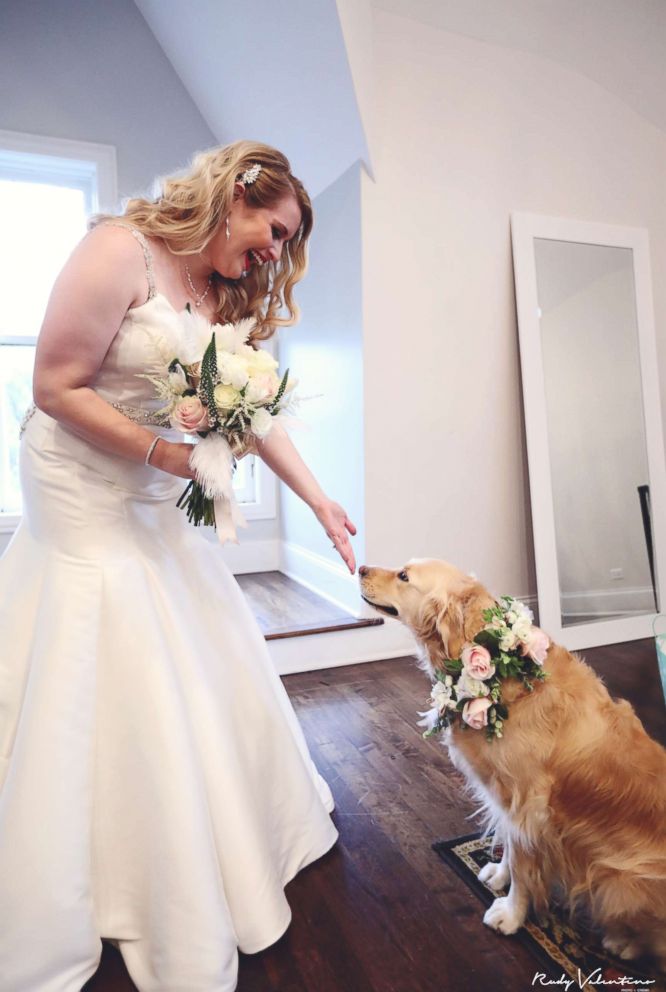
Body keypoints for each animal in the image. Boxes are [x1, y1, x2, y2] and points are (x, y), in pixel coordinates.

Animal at [358, 560, 664, 968]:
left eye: (404, 576)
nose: (360, 568)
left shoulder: (528, 807)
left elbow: (523, 865)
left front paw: (510, 913)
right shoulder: (506, 798)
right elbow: (507, 845)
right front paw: (498, 876)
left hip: (620, 881)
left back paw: (624, 942)